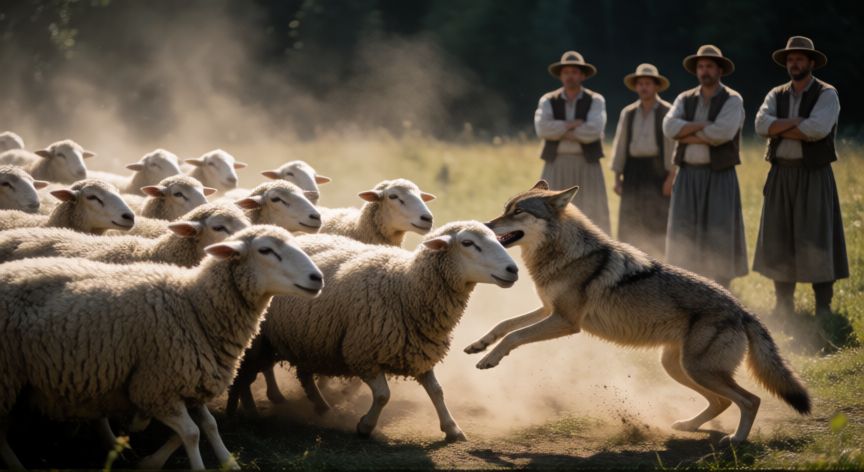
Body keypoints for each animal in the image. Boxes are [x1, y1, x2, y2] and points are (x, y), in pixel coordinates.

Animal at [0, 225, 324, 471]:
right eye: (265, 250)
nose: (317, 277)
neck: (194, 306)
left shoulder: (191, 379)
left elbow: (207, 425)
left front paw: (225, 461)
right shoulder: (155, 385)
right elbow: (191, 433)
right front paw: (194, 465)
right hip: (8, 377)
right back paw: (17, 465)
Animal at [227, 221, 519, 441]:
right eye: (468, 243)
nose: (513, 269)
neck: (405, 286)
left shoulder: (419, 351)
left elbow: (437, 391)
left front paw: (452, 428)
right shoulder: (362, 354)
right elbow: (383, 395)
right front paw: (365, 426)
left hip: (308, 337)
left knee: (303, 374)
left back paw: (320, 406)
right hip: (261, 342)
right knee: (242, 376)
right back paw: (242, 411)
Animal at [466, 180, 810, 444]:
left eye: (518, 212)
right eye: (506, 208)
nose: (485, 226)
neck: (565, 254)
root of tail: (743, 310)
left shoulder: (565, 321)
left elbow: (514, 336)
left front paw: (489, 359)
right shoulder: (548, 309)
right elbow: (505, 324)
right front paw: (478, 345)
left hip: (698, 369)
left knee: (750, 400)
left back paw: (736, 440)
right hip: (679, 368)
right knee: (723, 401)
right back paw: (688, 426)